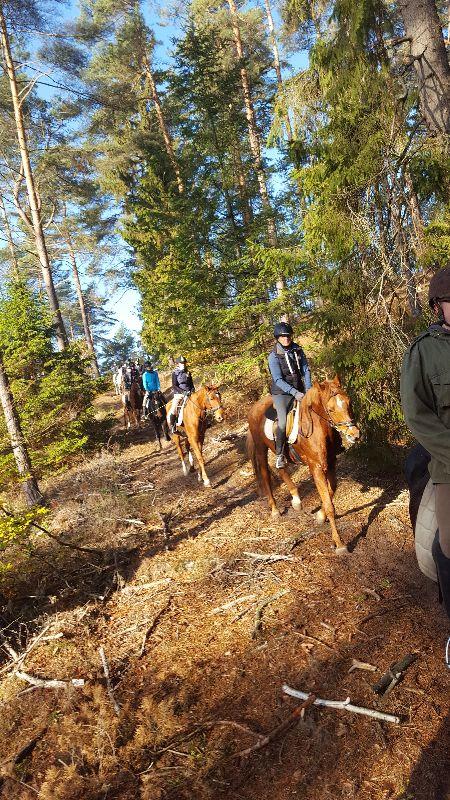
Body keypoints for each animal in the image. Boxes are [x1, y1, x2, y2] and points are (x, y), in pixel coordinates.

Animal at [246, 376, 358, 552]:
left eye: (349, 402)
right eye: (331, 409)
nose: (355, 435)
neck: (318, 429)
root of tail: (254, 407)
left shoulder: (331, 463)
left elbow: (331, 492)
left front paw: (320, 516)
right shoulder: (316, 467)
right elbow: (329, 504)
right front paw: (339, 544)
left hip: (280, 452)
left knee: (282, 469)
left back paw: (296, 499)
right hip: (260, 448)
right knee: (265, 475)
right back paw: (275, 510)